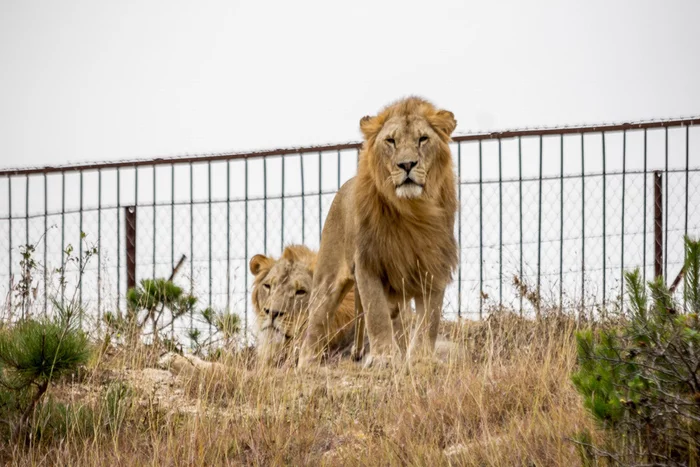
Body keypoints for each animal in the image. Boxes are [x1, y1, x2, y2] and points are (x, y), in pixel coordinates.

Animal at [300, 98, 460, 370]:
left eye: (423, 139)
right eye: (391, 141)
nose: (407, 165)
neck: (412, 211)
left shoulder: (434, 266)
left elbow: (429, 319)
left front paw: (421, 359)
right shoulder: (368, 263)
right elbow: (376, 314)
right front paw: (384, 358)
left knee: (398, 319)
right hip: (327, 280)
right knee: (317, 320)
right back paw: (308, 364)